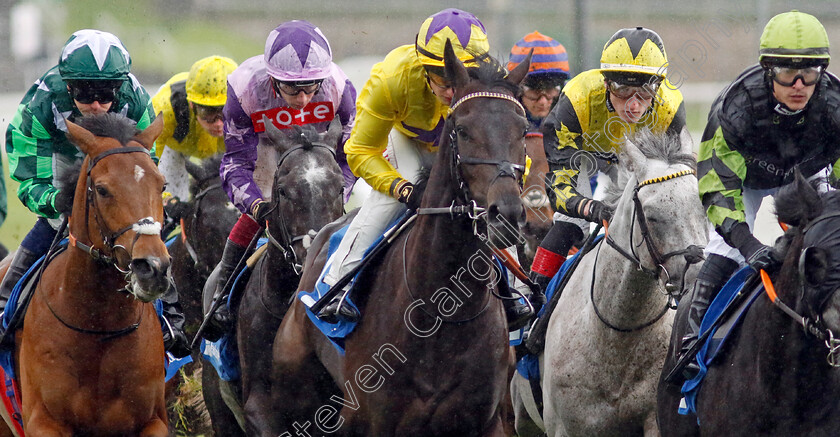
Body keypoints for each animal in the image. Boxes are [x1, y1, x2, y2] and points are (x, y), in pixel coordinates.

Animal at [270, 41, 532, 436]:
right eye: (463, 130)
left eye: (523, 129)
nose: (507, 214)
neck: (441, 312)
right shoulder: (374, 420)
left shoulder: (488, 421)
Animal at [512, 127, 708, 434]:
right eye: (652, 216)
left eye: (704, 209)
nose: (698, 277)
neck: (619, 333)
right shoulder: (565, 427)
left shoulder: (654, 420)